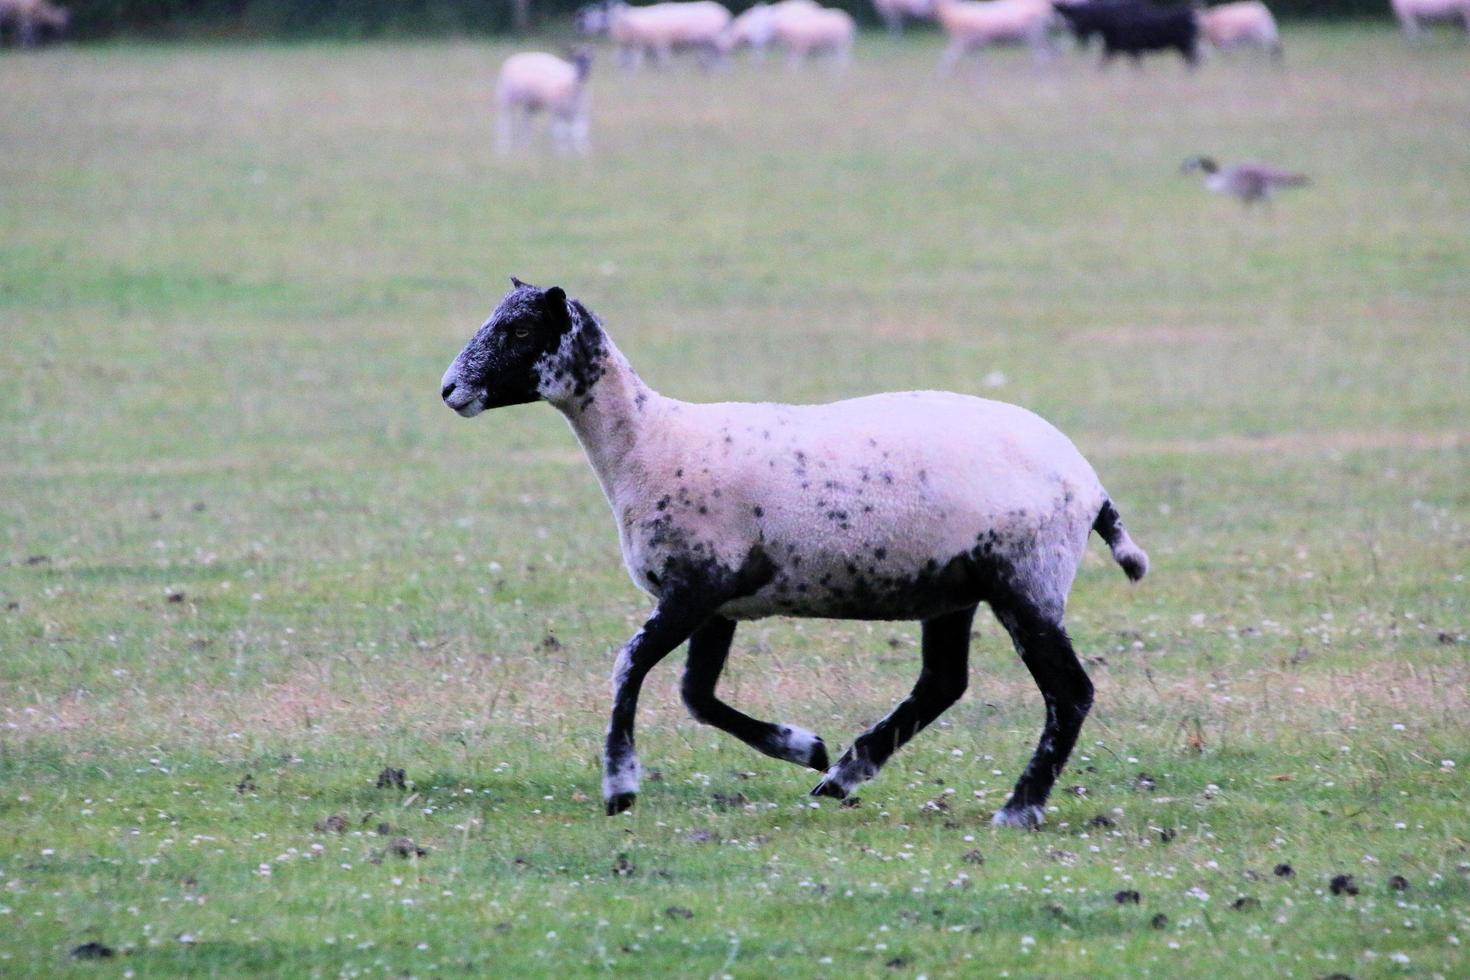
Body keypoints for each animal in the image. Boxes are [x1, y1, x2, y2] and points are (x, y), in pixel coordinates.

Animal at [435, 276, 1146, 828]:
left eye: (519, 331)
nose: (447, 391)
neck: (648, 443)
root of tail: (1090, 485)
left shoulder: (695, 585)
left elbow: (630, 665)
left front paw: (620, 787)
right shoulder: (719, 601)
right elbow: (696, 695)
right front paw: (803, 746)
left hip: (1026, 581)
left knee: (1069, 693)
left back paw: (1018, 808)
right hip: (952, 587)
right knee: (944, 682)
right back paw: (840, 776)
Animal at [576, 0, 732, 69]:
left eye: (599, 15)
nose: (580, 27)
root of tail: (723, 12)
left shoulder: (656, 44)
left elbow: (649, 61)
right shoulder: (636, 45)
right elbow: (624, 61)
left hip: (716, 39)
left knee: (720, 57)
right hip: (706, 43)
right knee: (710, 57)